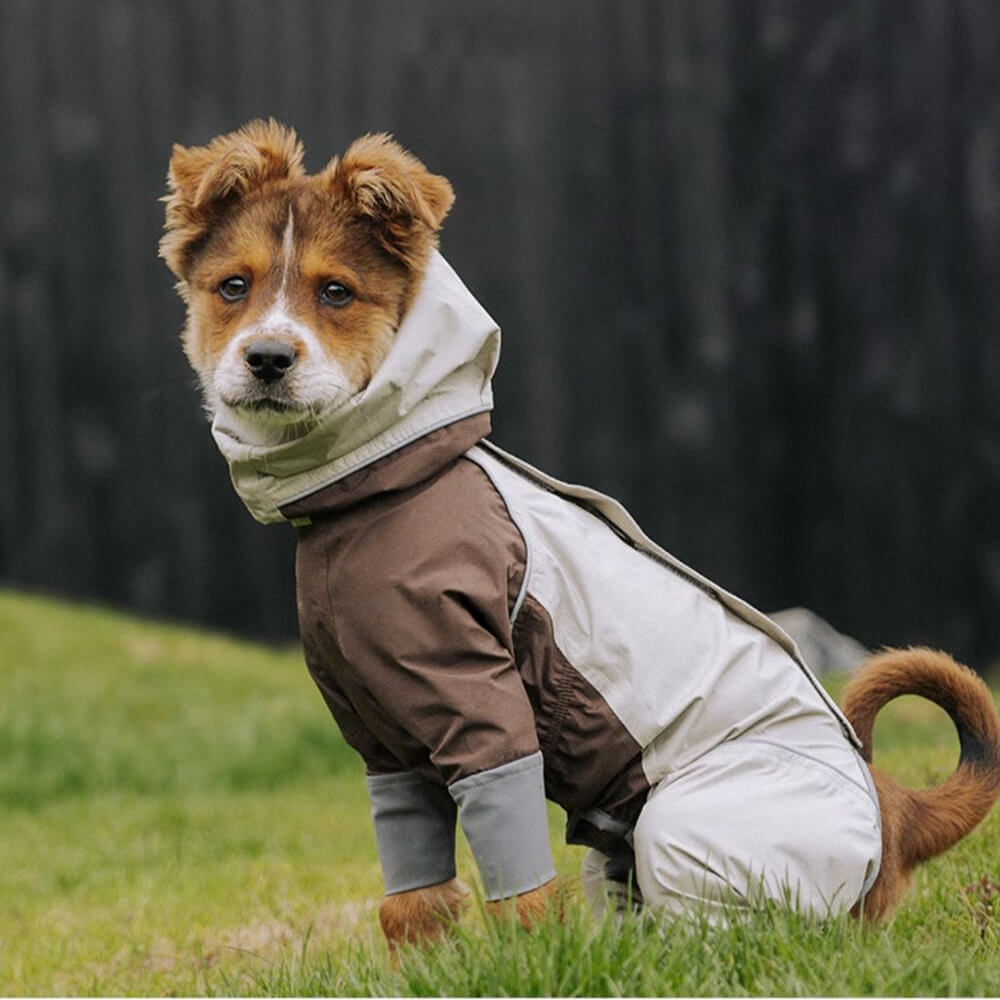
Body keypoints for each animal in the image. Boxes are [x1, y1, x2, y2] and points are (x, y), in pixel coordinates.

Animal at [162, 121, 1000, 948]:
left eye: (336, 291)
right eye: (233, 287)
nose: (267, 359)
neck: (380, 489)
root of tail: (896, 813)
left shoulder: (484, 713)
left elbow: (517, 884)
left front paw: (526, 966)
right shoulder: (381, 738)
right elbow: (413, 897)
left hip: (685, 823)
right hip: (616, 858)